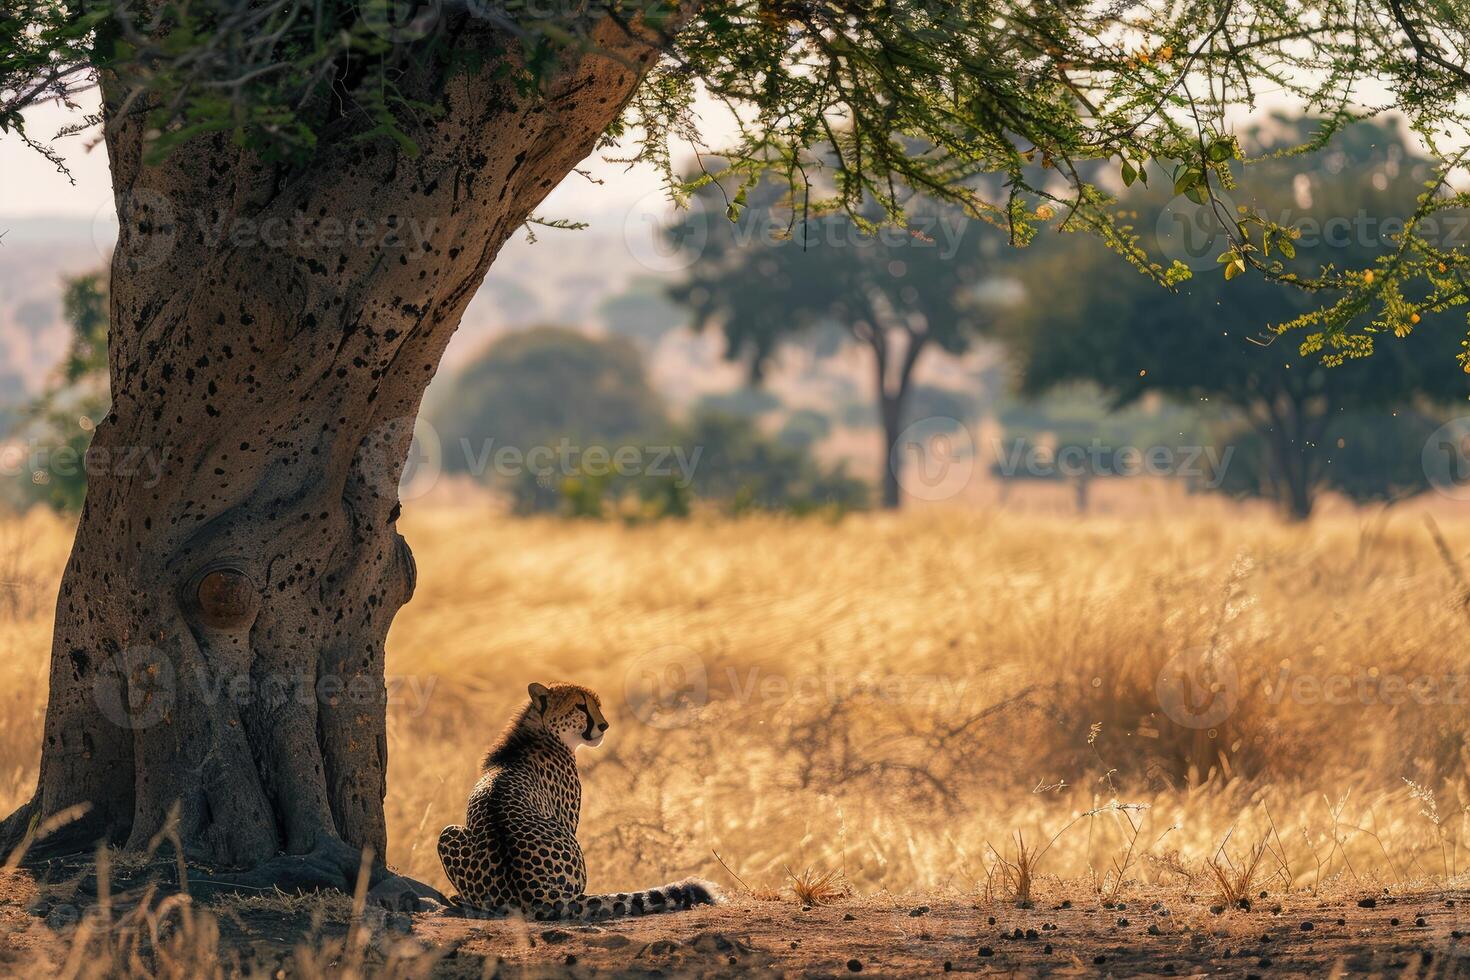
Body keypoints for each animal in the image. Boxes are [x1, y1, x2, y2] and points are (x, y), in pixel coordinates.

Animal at [435, 681, 723, 922]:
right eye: (581, 706)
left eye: (598, 704)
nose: (604, 725)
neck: (541, 732)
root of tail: (535, 893)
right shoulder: (567, 820)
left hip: (448, 833)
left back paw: (461, 899)